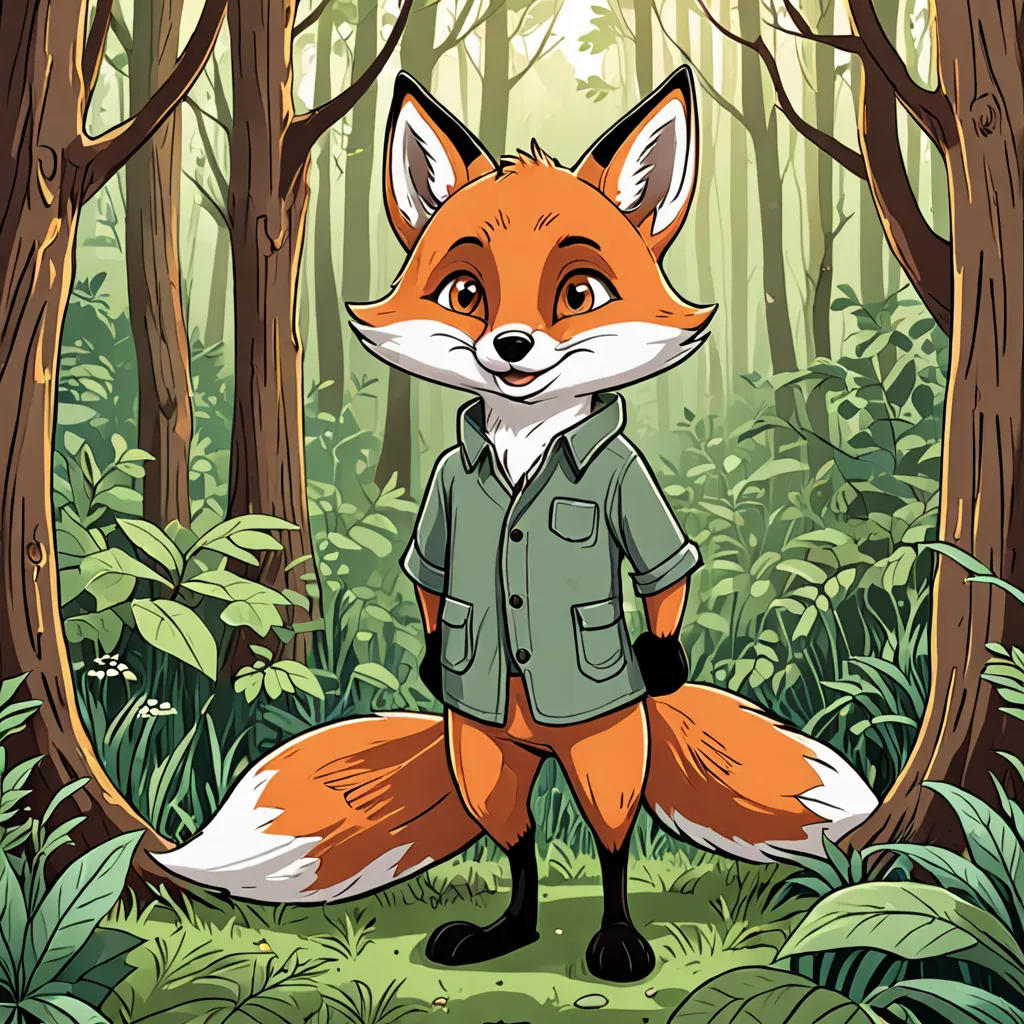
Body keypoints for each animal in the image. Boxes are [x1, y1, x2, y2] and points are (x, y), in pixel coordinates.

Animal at [155, 67, 877, 984]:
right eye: (466, 294)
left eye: (579, 295)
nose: (510, 346)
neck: (525, 441)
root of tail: (538, 738)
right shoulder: (444, 501)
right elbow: (433, 581)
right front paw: (432, 661)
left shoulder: (630, 490)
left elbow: (663, 575)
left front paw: (664, 660)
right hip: (483, 756)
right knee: (518, 838)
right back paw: (504, 931)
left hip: (604, 750)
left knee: (611, 837)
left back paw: (616, 941)